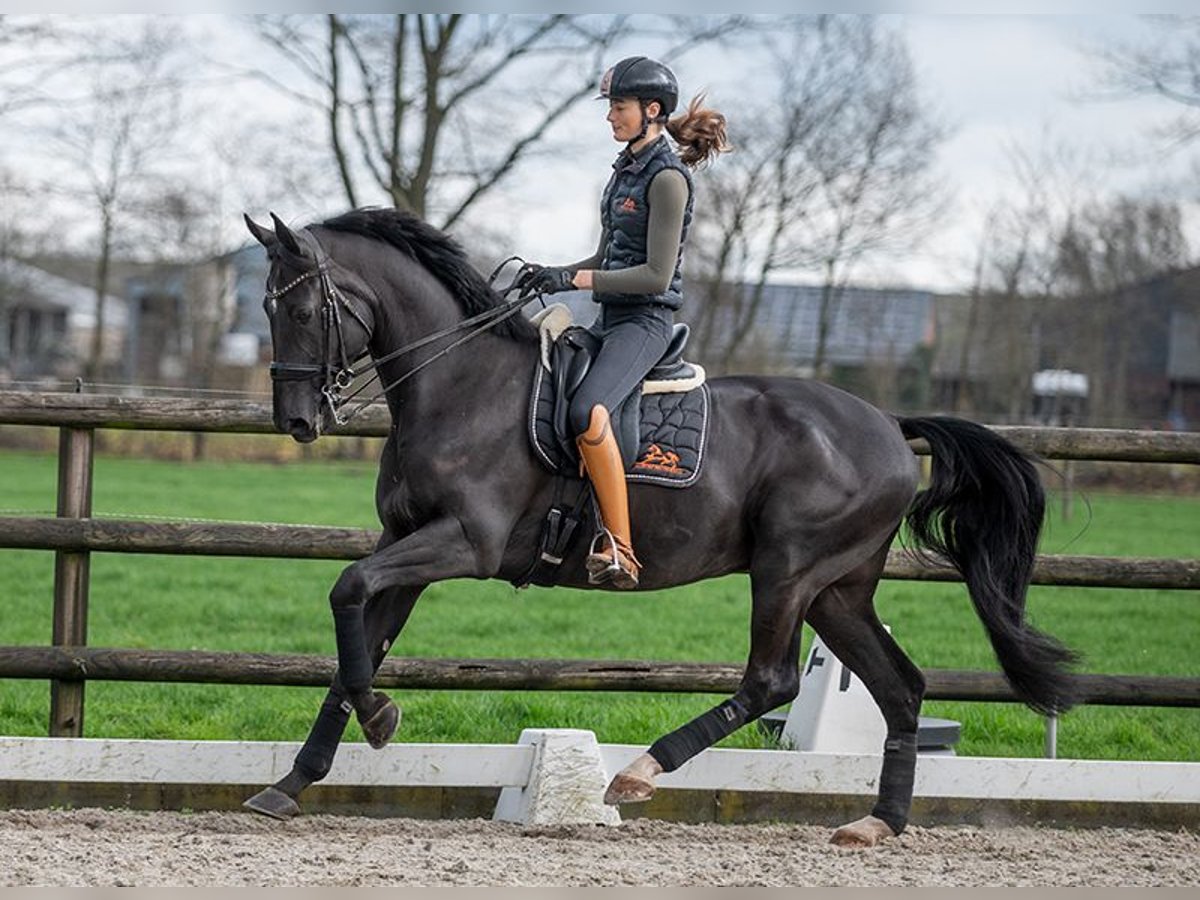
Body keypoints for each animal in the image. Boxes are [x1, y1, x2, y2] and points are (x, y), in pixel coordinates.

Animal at [238, 207, 1075, 849]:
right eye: (267, 310)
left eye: (304, 311)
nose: (298, 422)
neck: (459, 385)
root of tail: (891, 427)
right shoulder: (405, 543)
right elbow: (357, 637)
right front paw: (298, 777)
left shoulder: (463, 544)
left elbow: (347, 591)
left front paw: (378, 719)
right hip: (839, 590)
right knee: (902, 690)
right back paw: (878, 823)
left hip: (789, 570)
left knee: (771, 679)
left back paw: (637, 773)